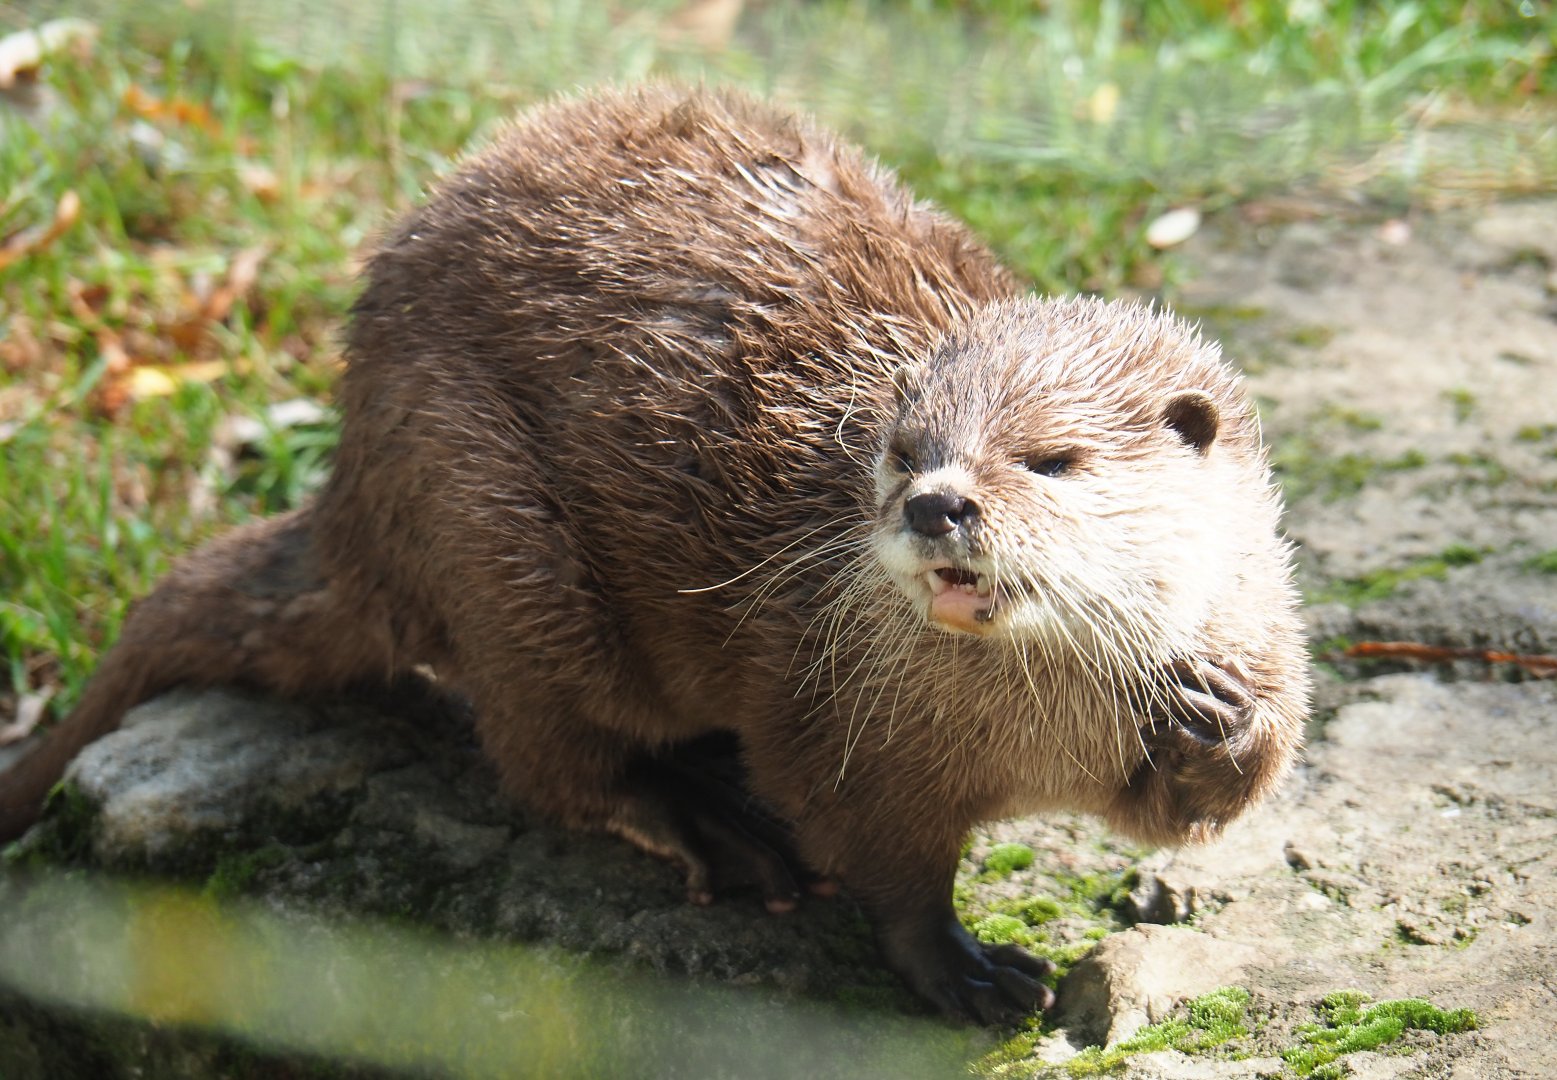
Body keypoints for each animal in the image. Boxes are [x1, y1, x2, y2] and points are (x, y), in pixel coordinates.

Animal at [0, 85, 1308, 1025]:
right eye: (903, 448)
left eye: (1049, 461)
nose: (937, 505)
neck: (1031, 735)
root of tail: (350, 489)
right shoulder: (833, 721)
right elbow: (878, 854)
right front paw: (962, 970)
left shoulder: (1253, 610)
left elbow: (1204, 803)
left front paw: (1221, 716)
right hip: (486, 523)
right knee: (548, 751)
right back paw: (704, 816)